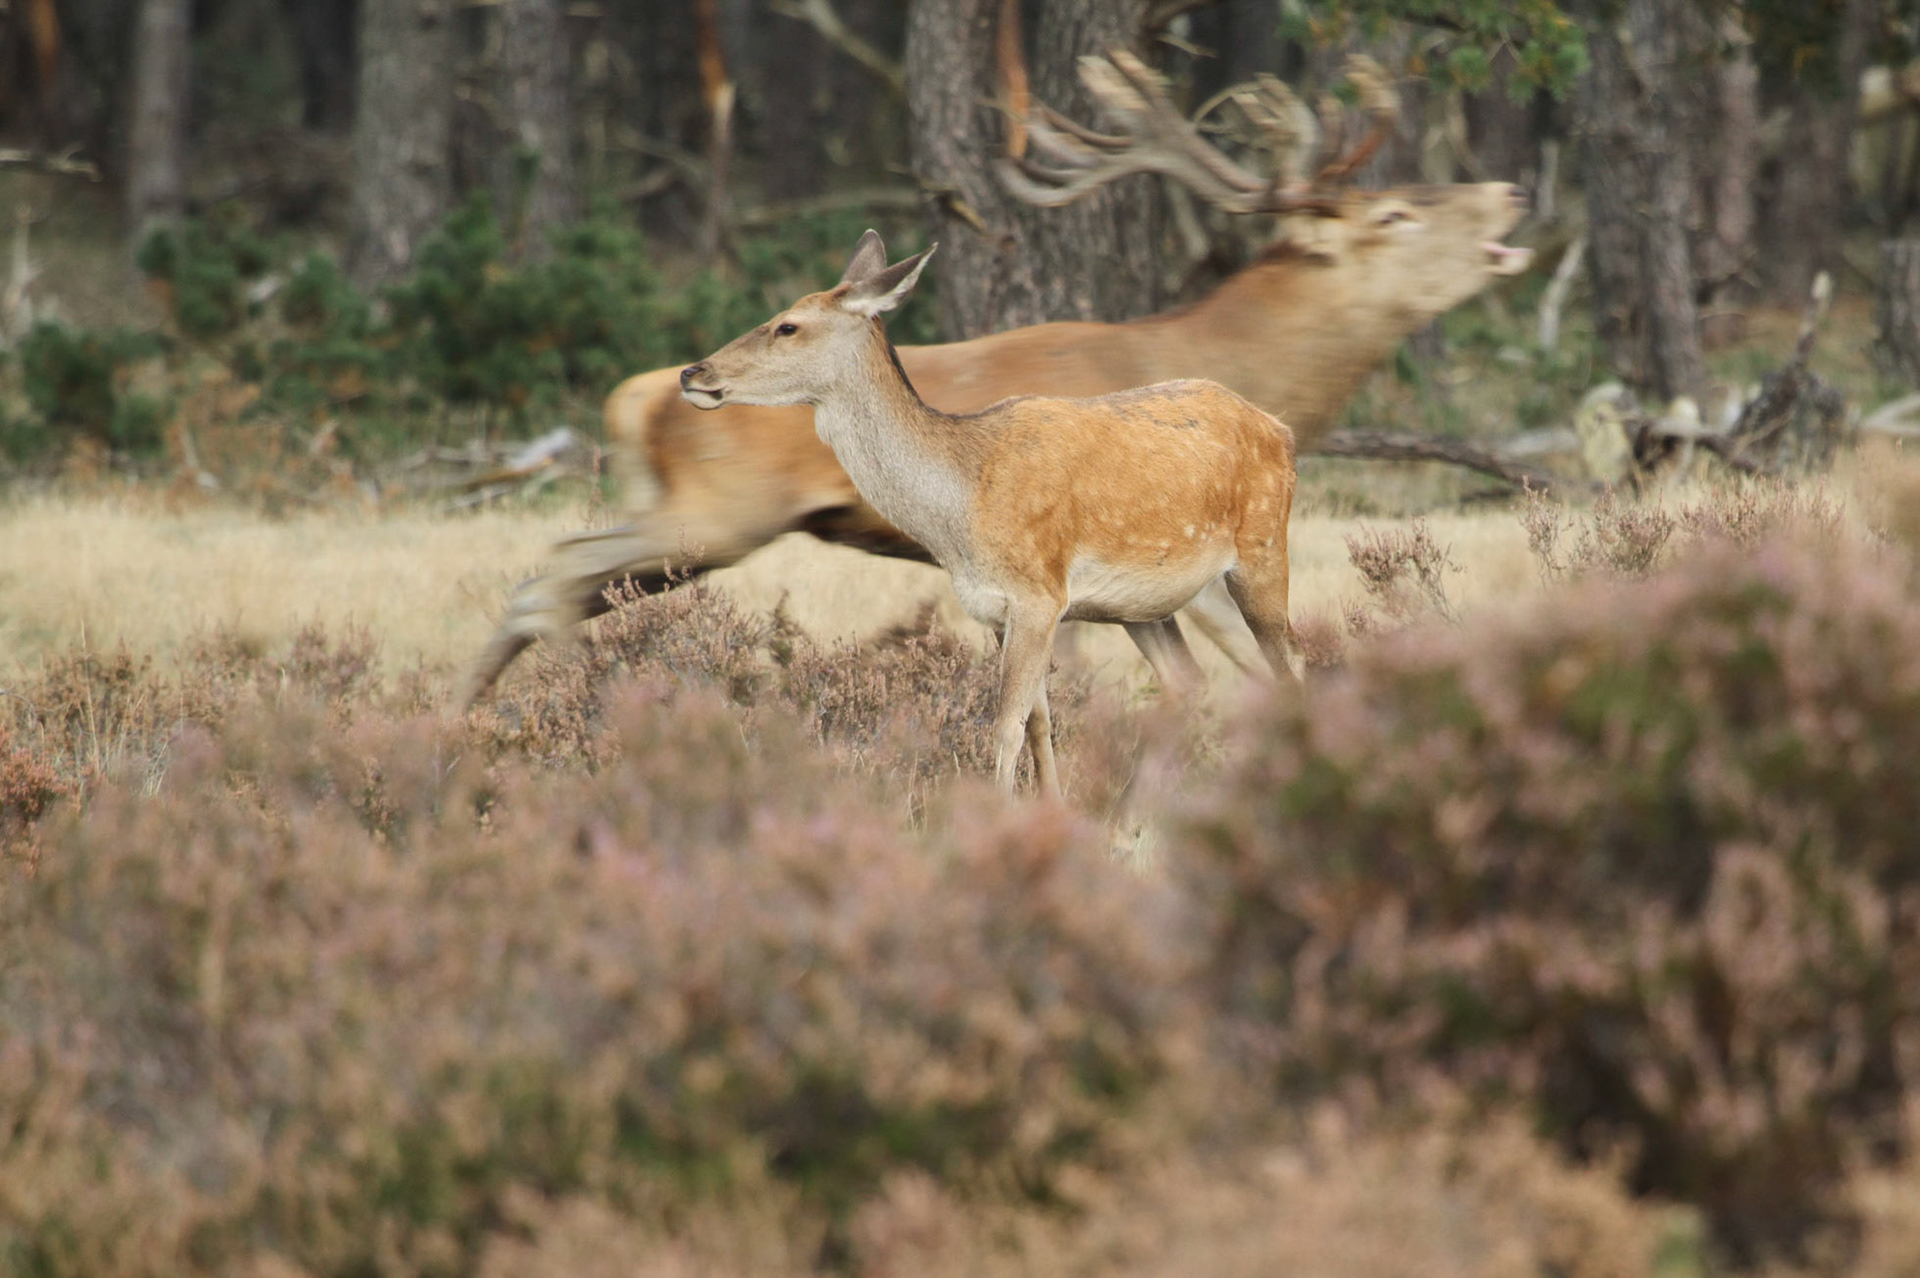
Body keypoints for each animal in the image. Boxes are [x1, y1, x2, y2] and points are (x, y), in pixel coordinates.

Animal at [463, 53, 1533, 704]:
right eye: (1394, 215)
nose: (1506, 189)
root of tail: (633, 396)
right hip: (717, 514)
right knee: (552, 573)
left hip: (686, 523)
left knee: (556, 578)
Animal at [680, 229, 1302, 796]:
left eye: (788, 325)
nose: (693, 372)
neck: (960, 512)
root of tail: (1281, 429)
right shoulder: (999, 610)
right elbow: (1038, 721)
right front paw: (1050, 811)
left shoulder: (1040, 596)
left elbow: (1004, 724)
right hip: (1154, 604)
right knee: (1196, 682)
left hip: (1263, 548)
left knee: (1290, 665)